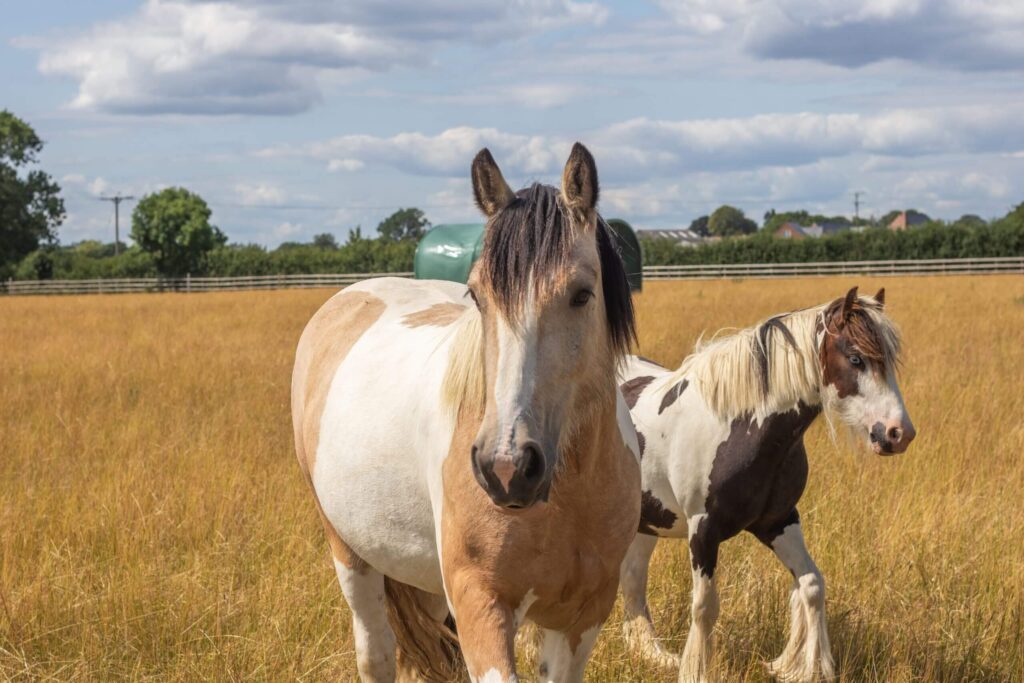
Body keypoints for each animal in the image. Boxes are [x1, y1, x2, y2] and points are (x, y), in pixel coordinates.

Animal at [291, 143, 642, 683]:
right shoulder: (481, 604)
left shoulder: (583, 615)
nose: (507, 468)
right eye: (477, 295)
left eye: (582, 294)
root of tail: (351, 295)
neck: (568, 494)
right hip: (351, 553)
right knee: (376, 652)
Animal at [616, 287, 915, 683]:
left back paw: (652, 653)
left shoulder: (779, 520)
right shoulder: (703, 529)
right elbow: (704, 607)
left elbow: (811, 584)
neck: (741, 426)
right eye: (855, 358)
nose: (898, 433)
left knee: (633, 579)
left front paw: (804, 667)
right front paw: (695, 670)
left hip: (646, 522)